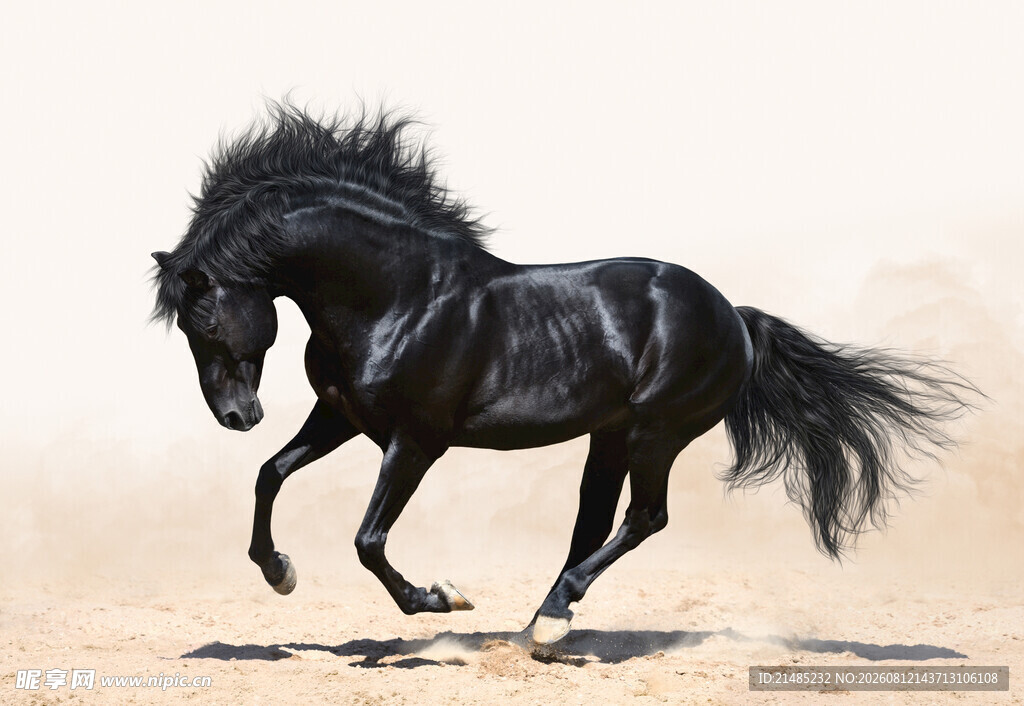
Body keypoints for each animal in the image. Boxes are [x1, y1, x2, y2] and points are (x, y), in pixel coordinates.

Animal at [151, 104, 975, 644]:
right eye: (187, 330)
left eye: (206, 320)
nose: (236, 416)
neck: (399, 295)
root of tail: (733, 317)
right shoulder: (342, 417)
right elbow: (270, 475)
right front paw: (279, 572)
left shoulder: (415, 441)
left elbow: (368, 540)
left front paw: (442, 599)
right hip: (610, 436)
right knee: (593, 523)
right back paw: (539, 627)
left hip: (654, 432)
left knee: (644, 519)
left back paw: (549, 622)